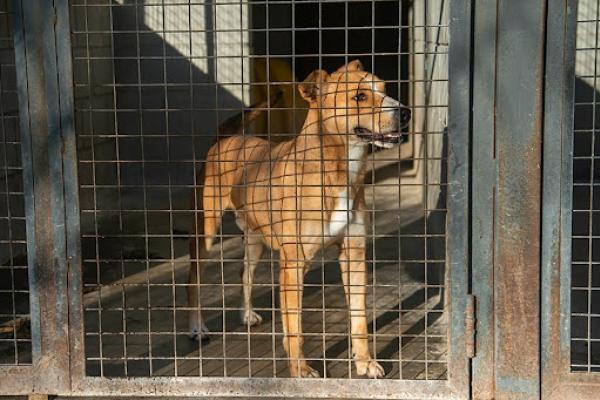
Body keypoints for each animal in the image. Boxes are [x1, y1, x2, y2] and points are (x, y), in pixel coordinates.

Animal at [189, 59, 412, 378]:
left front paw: (364, 362)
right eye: (359, 96)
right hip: (205, 232)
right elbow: (295, 327)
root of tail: (225, 138)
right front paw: (300, 370)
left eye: (384, 88)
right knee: (192, 282)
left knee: (245, 274)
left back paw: (246, 313)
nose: (405, 112)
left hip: (255, 239)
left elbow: (359, 318)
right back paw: (197, 327)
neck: (337, 171)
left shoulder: (354, 255)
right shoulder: (294, 264)